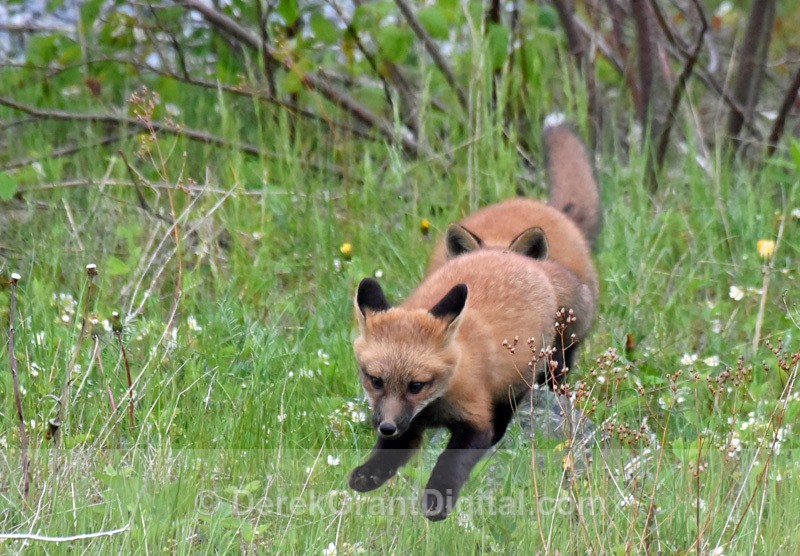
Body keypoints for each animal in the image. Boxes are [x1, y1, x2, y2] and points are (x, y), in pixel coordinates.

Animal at [350, 249, 593, 520]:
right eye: (376, 381)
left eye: (416, 385)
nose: (386, 428)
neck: (434, 407)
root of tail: (528, 261)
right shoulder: (408, 424)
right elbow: (388, 454)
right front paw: (369, 474)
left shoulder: (474, 419)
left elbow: (451, 462)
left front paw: (438, 499)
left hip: (518, 383)